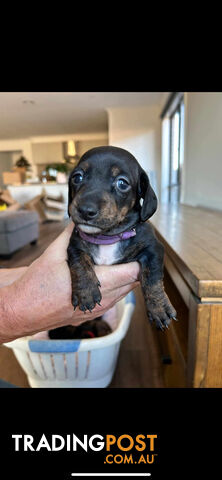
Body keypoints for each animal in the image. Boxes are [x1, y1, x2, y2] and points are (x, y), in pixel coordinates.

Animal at [48, 146, 175, 342]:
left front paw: (159, 307)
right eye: (77, 177)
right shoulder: (75, 245)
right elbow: (79, 262)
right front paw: (86, 291)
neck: (107, 237)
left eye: (122, 183)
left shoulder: (154, 249)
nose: (85, 210)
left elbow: (152, 277)